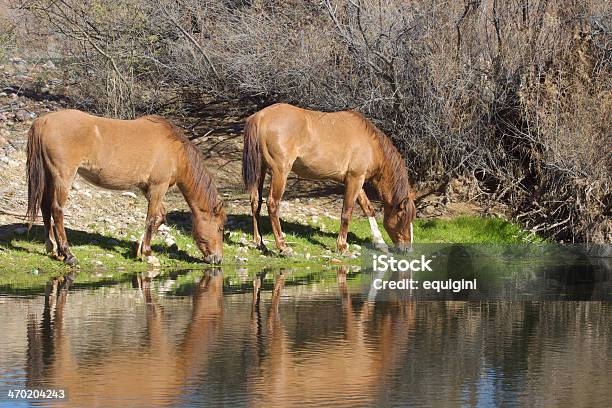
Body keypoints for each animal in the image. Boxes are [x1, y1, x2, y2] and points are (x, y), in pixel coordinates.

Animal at [26, 110, 226, 266]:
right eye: (220, 228)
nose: (218, 259)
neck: (175, 151)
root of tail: (43, 121)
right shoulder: (158, 187)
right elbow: (151, 218)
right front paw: (147, 254)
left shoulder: (147, 189)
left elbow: (159, 217)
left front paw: (139, 249)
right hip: (62, 177)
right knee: (57, 210)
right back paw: (68, 254)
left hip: (48, 176)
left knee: (45, 206)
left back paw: (52, 248)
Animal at [243, 103, 416, 253]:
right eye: (402, 217)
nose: (408, 249)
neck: (371, 144)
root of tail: (260, 117)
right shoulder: (355, 179)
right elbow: (347, 212)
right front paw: (342, 246)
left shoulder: (356, 180)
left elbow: (368, 208)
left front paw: (380, 243)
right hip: (280, 172)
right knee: (272, 203)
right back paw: (283, 247)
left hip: (261, 170)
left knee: (255, 202)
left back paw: (260, 243)